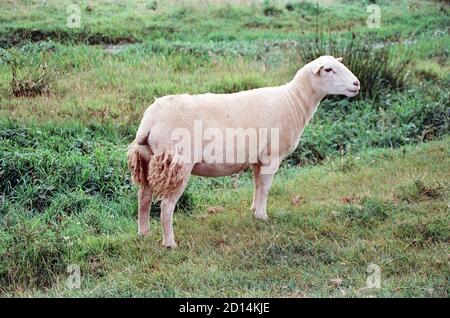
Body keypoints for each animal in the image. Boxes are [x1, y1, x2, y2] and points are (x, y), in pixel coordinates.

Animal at [128, 56, 360, 247]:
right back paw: (169, 243)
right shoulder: (272, 155)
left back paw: (143, 233)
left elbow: (257, 184)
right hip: (178, 163)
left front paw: (254, 210)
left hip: (146, 159)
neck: (294, 100)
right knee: (166, 205)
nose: (357, 84)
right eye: (328, 69)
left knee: (144, 198)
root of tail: (149, 121)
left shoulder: (258, 157)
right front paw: (262, 216)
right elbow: (266, 186)